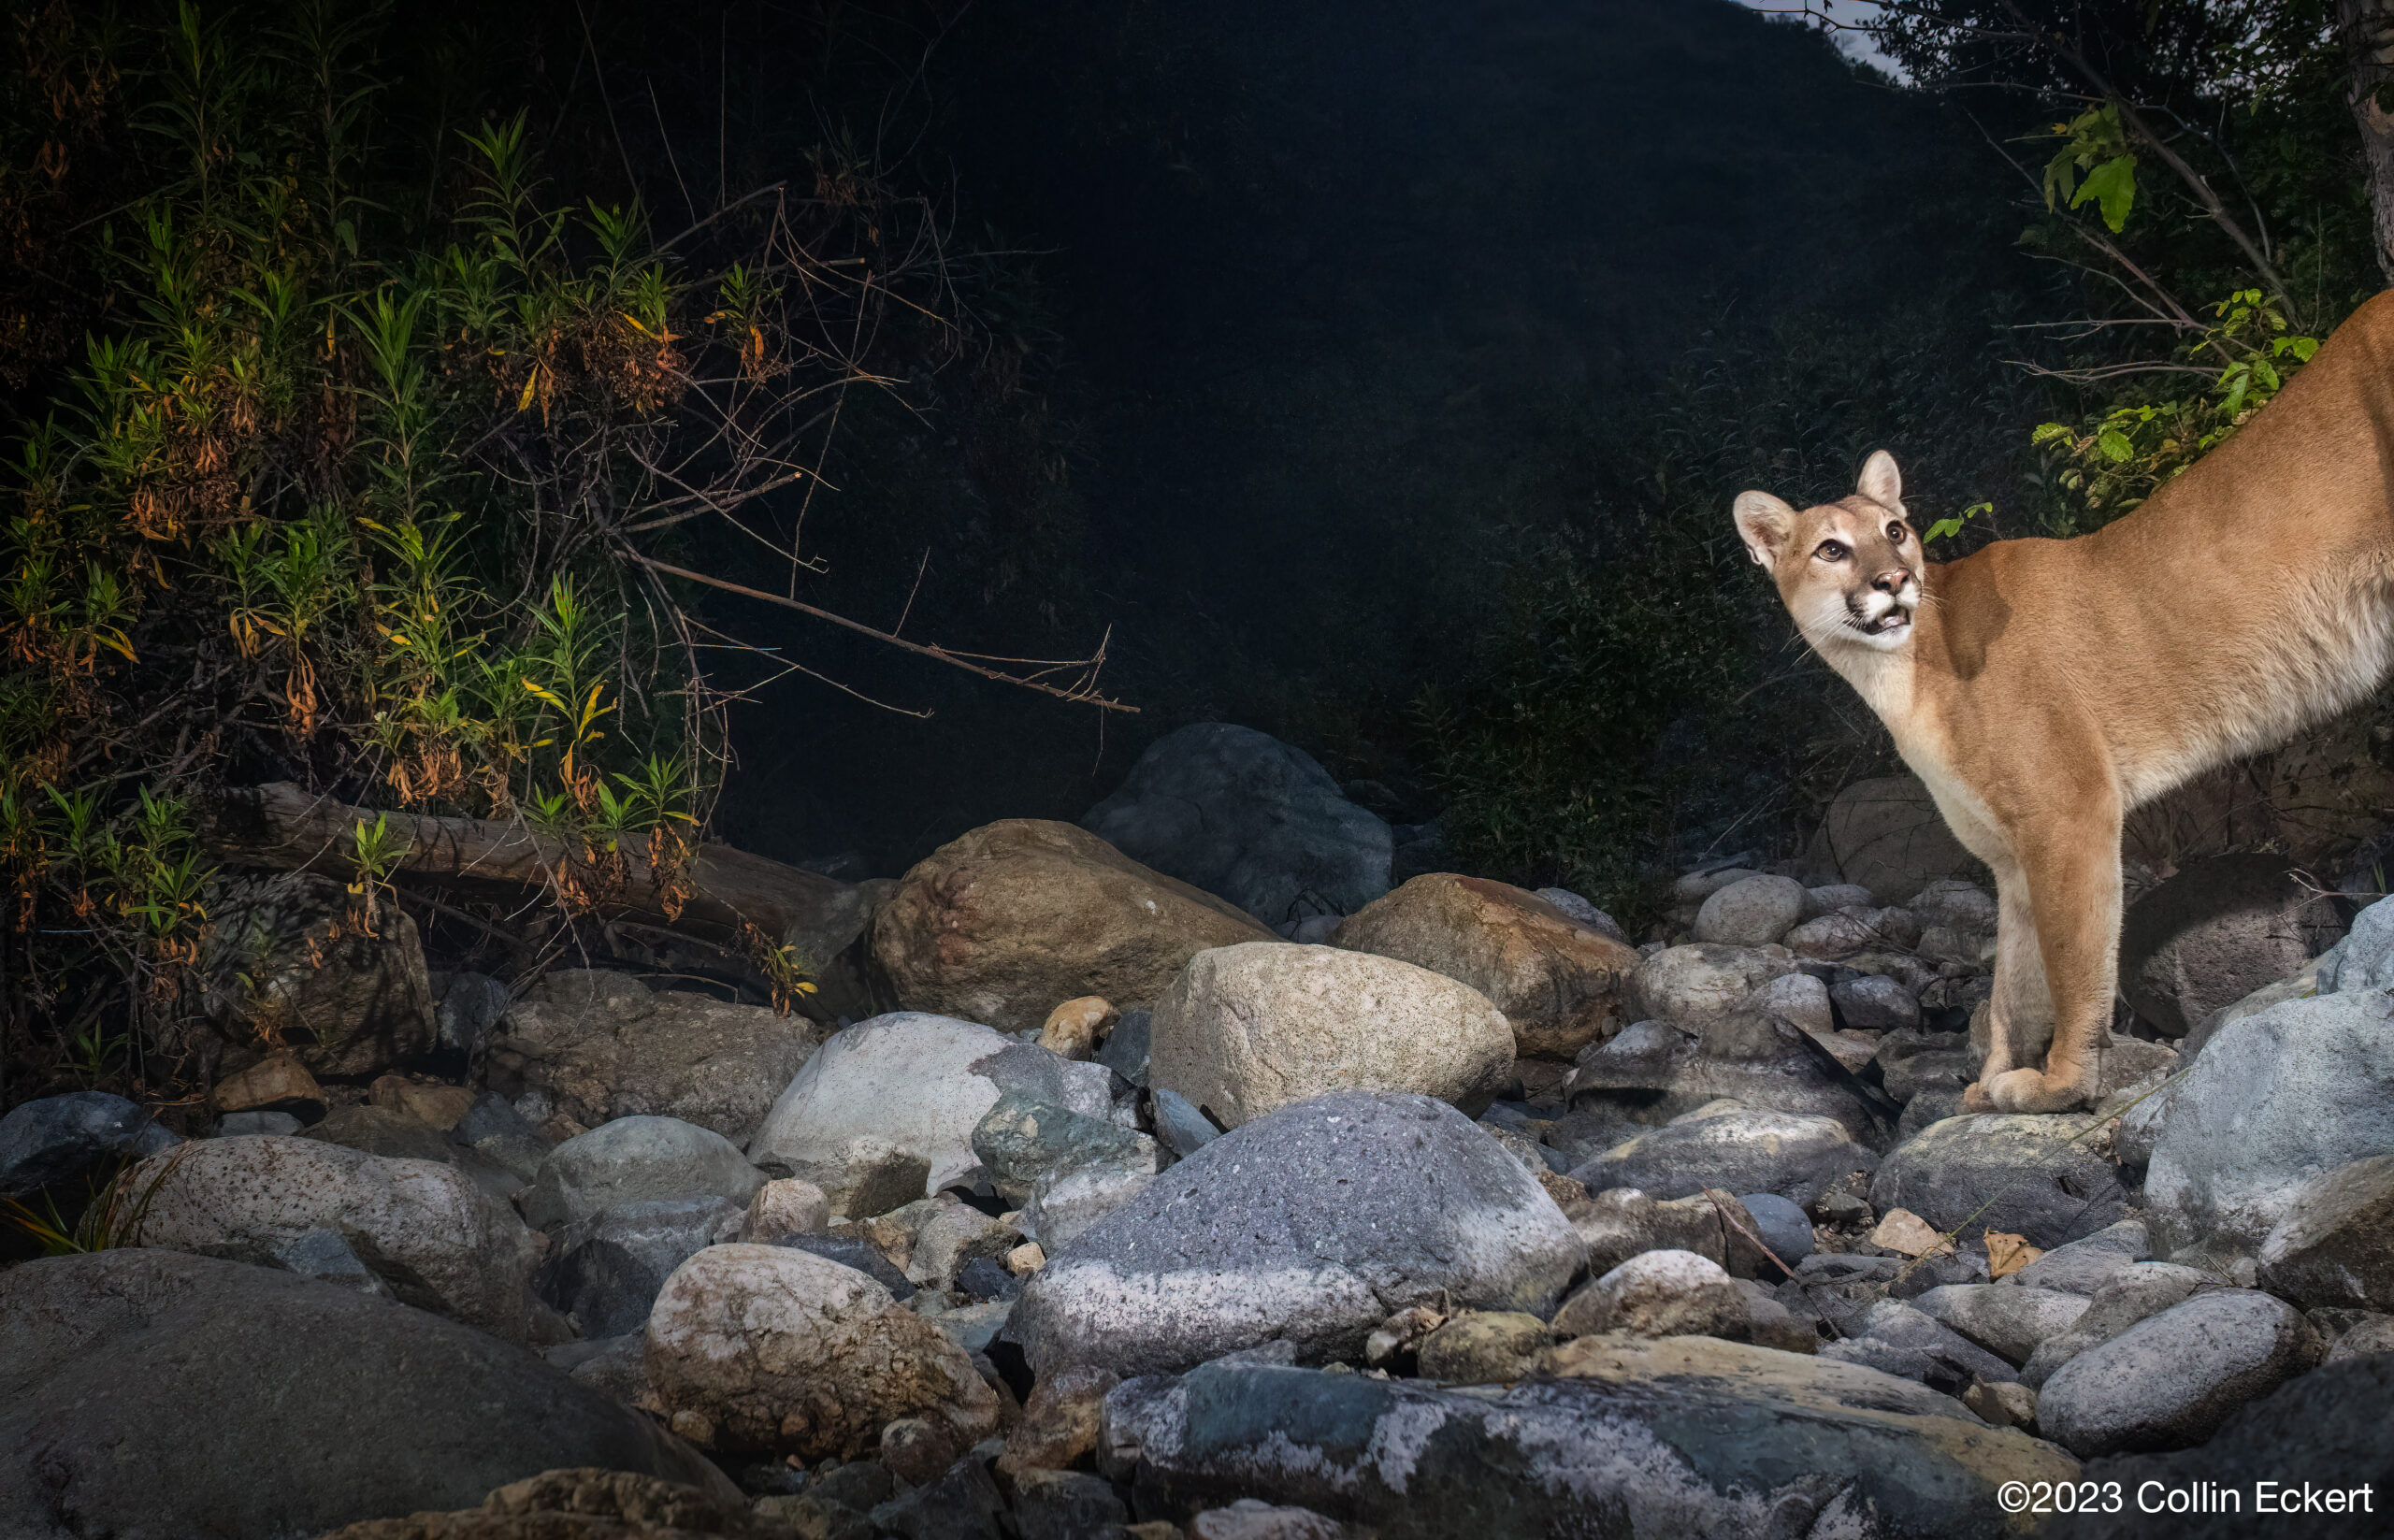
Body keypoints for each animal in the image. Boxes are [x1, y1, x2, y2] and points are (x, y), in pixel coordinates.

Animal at [1733, 292, 2384, 1106]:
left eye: (1896, 530)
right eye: (1831, 548)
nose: (1894, 580)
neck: (1898, 675)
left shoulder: (2069, 812)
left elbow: (2072, 963)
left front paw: (2059, 1084)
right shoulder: (2010, 856)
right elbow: (2011, 983)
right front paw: (1989, 1084)